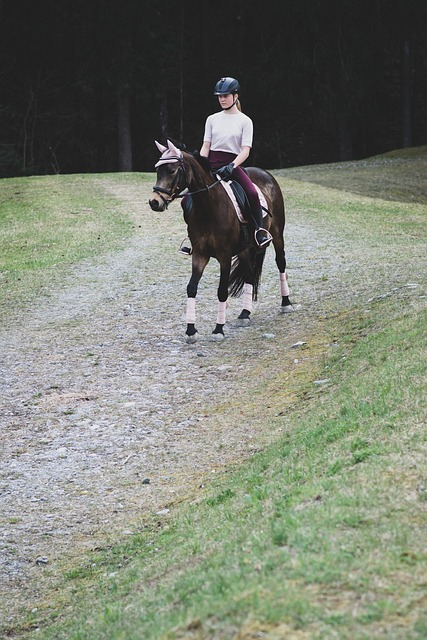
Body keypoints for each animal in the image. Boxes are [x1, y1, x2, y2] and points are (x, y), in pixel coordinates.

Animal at [149, 138, 292, 342]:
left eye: (172, 170)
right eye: (158, 170)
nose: (155, 202)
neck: (208, 207)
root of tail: (265, 173)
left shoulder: (224, 256)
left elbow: (222, 290)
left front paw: (218, 329)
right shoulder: (199, 254)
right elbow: (191, 288)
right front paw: (191, 330)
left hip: (277, 234)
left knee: (281, 262)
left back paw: (286, 303)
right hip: (245, 249)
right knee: (249, 273)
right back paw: (245, 313)